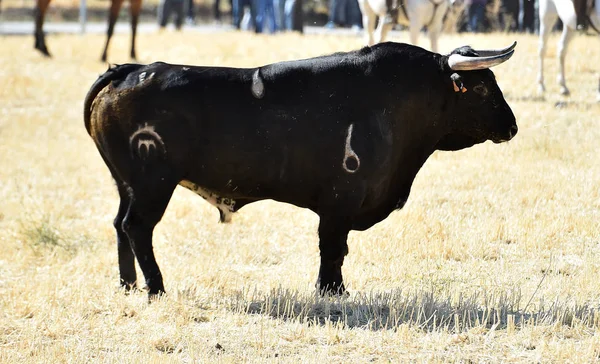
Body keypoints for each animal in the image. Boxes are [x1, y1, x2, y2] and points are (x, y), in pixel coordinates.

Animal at [82, 42, 516, 298]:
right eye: (481, 88)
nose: (512, 126)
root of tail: (129, 70)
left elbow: (336, 249)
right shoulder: (340, 202)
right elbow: (332, 248)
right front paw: (331, 291)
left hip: (127, 185)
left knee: (120, 225)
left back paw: (127, 284)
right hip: (153, 184)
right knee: (137, 227)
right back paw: (155, 287)